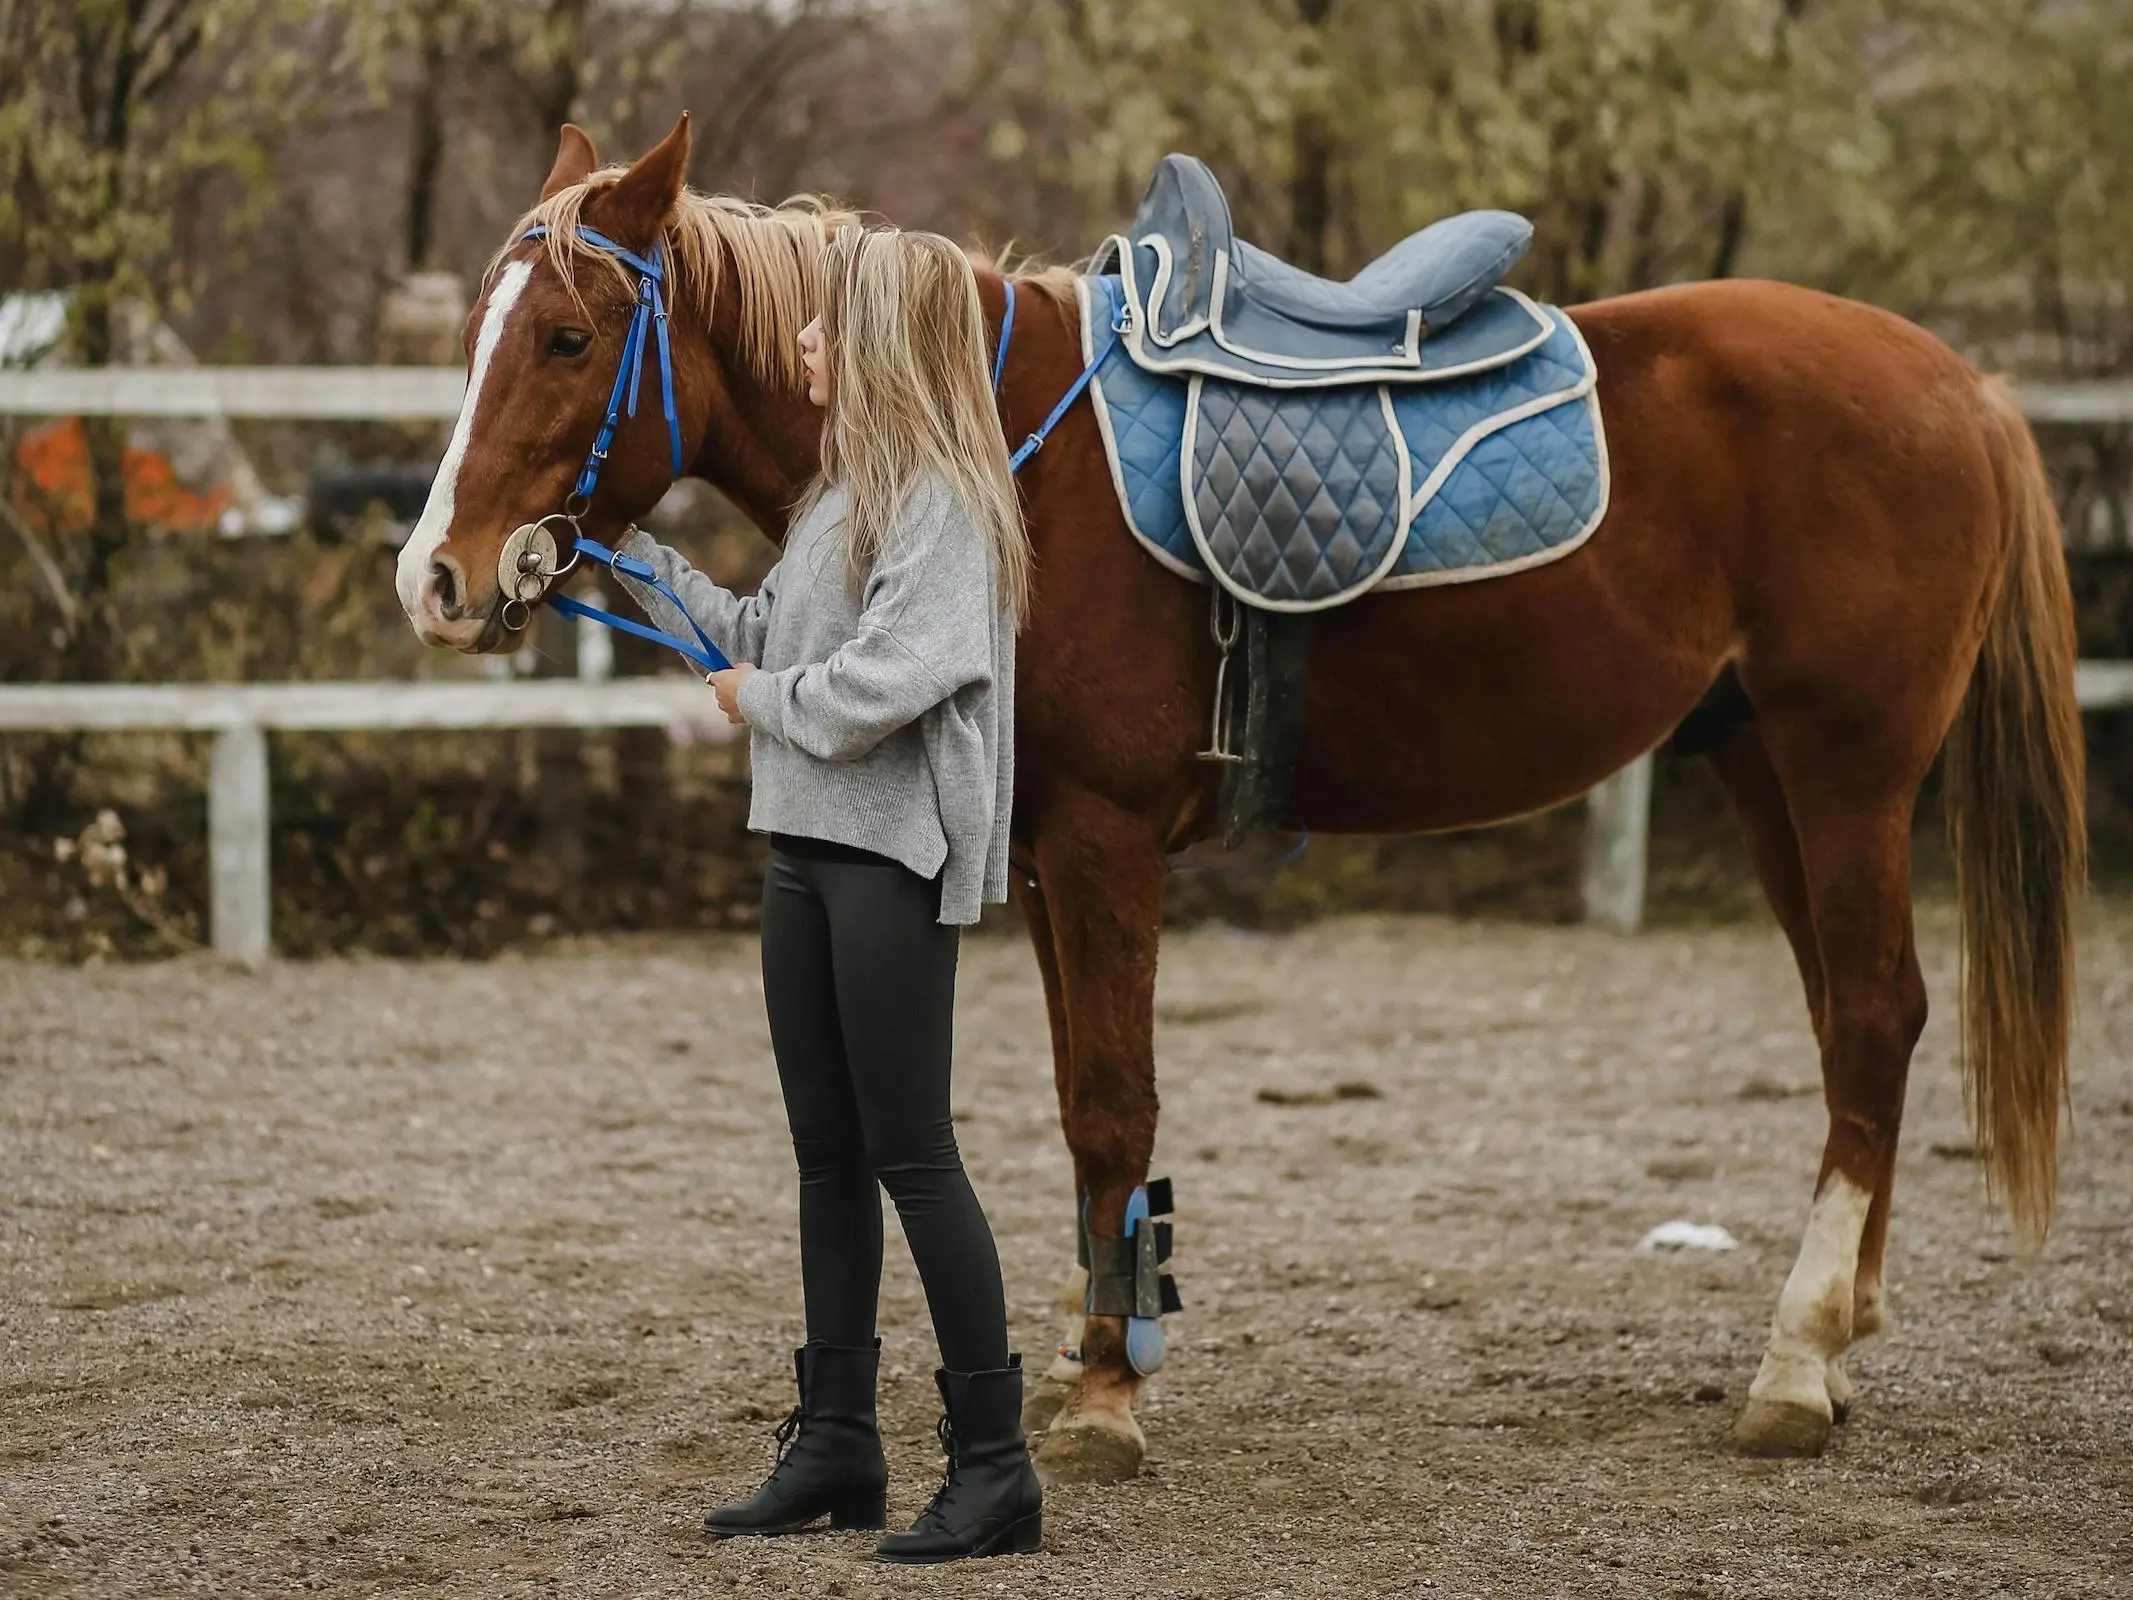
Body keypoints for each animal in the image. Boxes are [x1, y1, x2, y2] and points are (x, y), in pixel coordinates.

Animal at [396, 115, 2081, 1493]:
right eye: (478, 334)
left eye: (564, 337)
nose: (438, 578)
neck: (993, 447)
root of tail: (1966, 385)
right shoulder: (1044, 857)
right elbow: (1082, 1112)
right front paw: (1098, 1357)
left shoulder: (1101, 844)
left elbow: (1110, 1102)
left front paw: (1099, 1402)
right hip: (1757, 767)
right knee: (1858, 1024)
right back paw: (1841, 1329)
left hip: (1845, 768)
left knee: (1873, 1013)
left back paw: (1794, 1365)